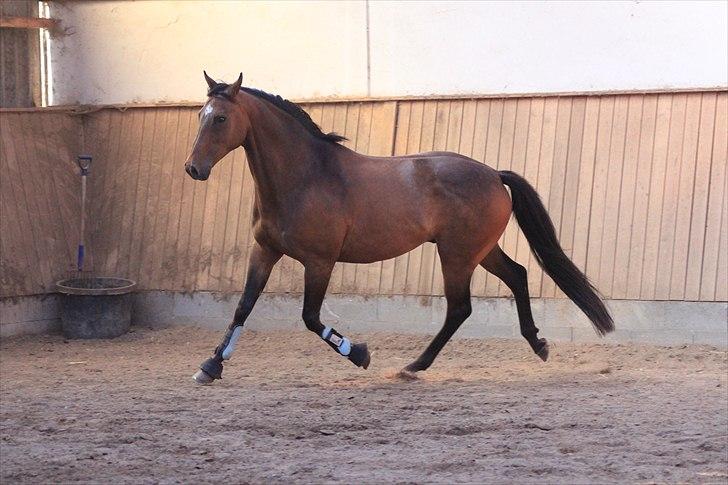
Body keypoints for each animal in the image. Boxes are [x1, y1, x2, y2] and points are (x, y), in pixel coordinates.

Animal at [185, 72, 612, 384]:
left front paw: (360, 354)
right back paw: (537, 344)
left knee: (460, 307)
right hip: (480, 250)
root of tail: (494, 173)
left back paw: (414, 366)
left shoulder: (320, 262)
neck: (305, 177)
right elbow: (243, 306)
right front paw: (211, 366)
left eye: (220, 118)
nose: (193, 169)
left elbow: (310, 317)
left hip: (457, 255)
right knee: (518, 275)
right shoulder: (266, 251)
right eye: (200, 115)